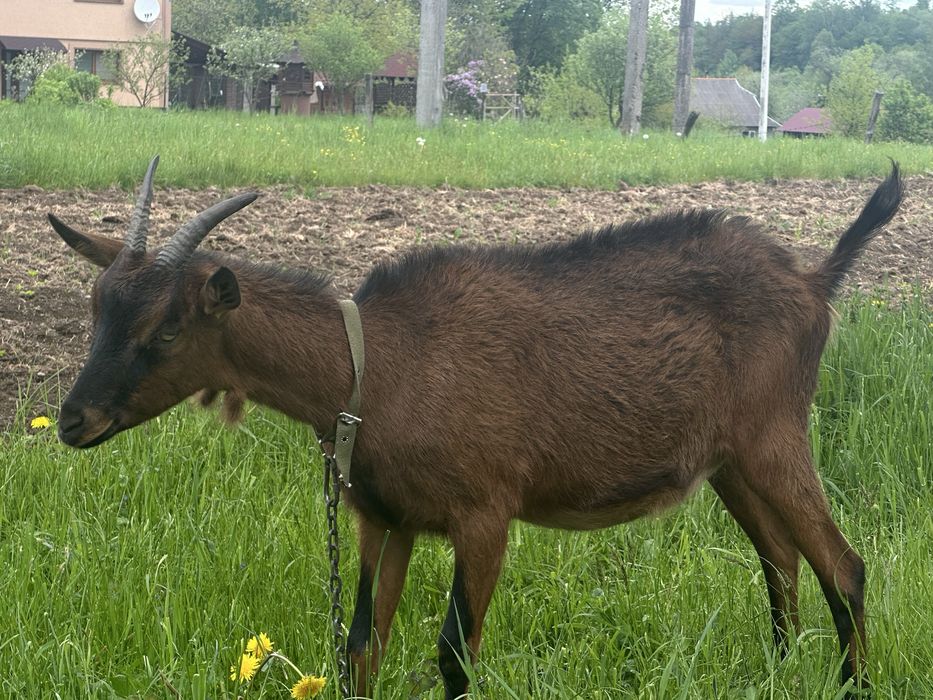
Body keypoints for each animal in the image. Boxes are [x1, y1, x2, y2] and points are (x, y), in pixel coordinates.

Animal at [49, 158, 903, 698]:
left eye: (165, 330)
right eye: (95, 309)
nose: (70, 420)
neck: (376, 366)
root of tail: (813, 280)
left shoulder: (485, 514)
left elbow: (454, 656)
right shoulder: (382, 520)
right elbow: (359, 647)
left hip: (773, 435)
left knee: (843, 567)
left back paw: (850, 684)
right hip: (729, 461)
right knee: (781, 566)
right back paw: (781, 674)